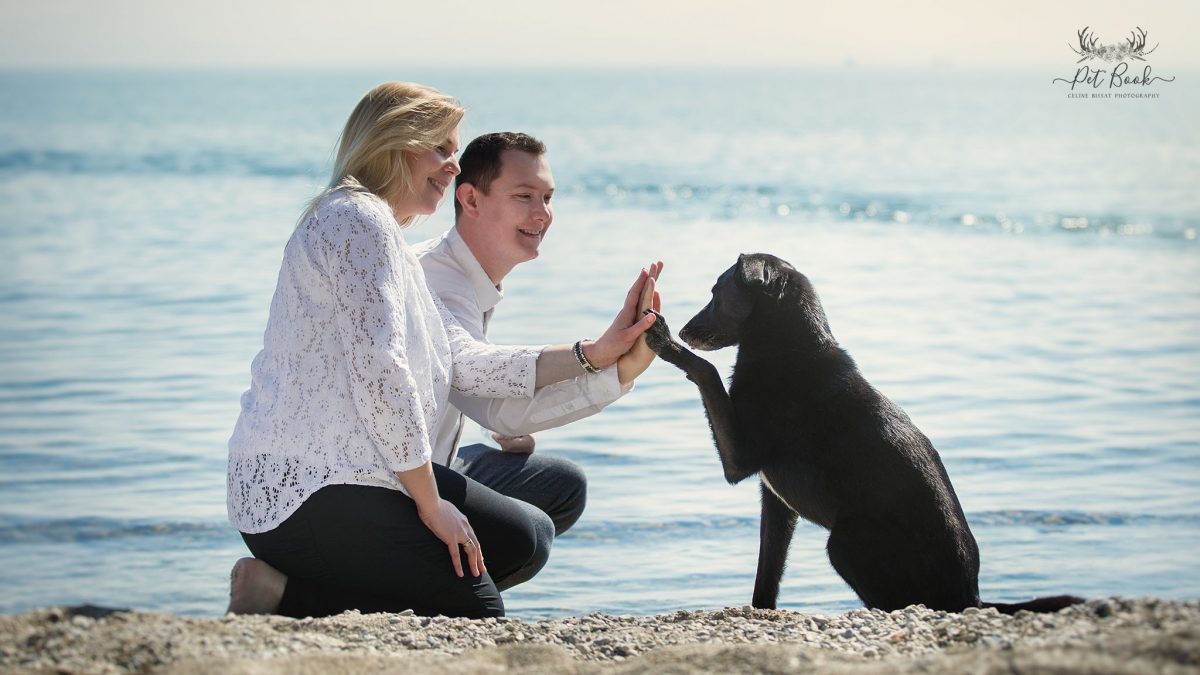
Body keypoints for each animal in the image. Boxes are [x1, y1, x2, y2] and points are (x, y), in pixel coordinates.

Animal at [652, 251, 1084, 610]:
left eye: (715, 293)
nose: (687, 330)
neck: (784, 346)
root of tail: (971, 597)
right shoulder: (776, 502)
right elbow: (767, 572)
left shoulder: (740, 461)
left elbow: (706, 371)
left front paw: (662, 339)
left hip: (844, 543)